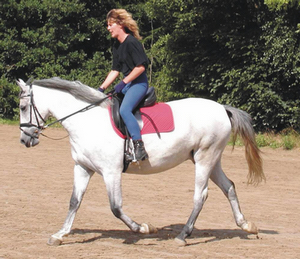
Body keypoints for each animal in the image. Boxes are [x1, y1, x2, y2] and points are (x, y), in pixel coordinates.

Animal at [16, 77, 264, 248]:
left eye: (22, 107)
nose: (25, 140)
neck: (87, 121)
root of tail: (222, 108)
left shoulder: (111, 172)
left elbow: (115, 207)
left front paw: (144, 228)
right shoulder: (83, 168)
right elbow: (74, 202)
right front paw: (60, 234)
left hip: (205, 158)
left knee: (200, 195)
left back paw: (183, 235)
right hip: (210, 160)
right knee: (228, 187)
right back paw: (246, 225)